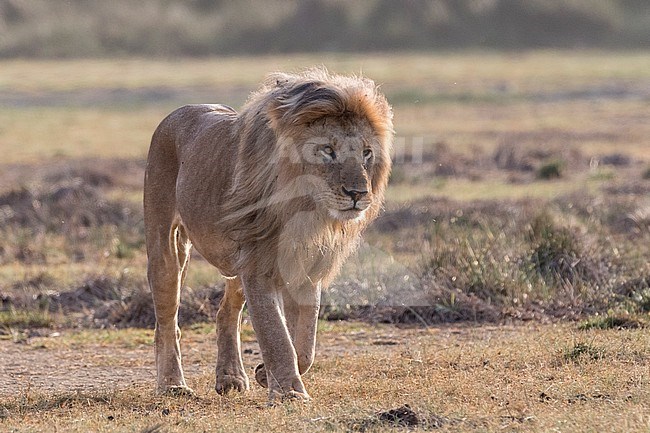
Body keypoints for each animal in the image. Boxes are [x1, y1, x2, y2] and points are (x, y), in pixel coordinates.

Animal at [143, 67, 390, 402]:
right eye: (328, 150)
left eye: (366, 153)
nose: (359, 194)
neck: (305, 210)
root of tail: (179, 111)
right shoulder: (258, 265)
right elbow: (276, 334)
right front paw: (290, 393)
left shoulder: (305, 268)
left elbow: (305, 343)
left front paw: (265, 374)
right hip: (166, 246)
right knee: (167, 320)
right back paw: (172, 384)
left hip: (236, 260)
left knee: (226, 312)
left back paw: (231, 377)